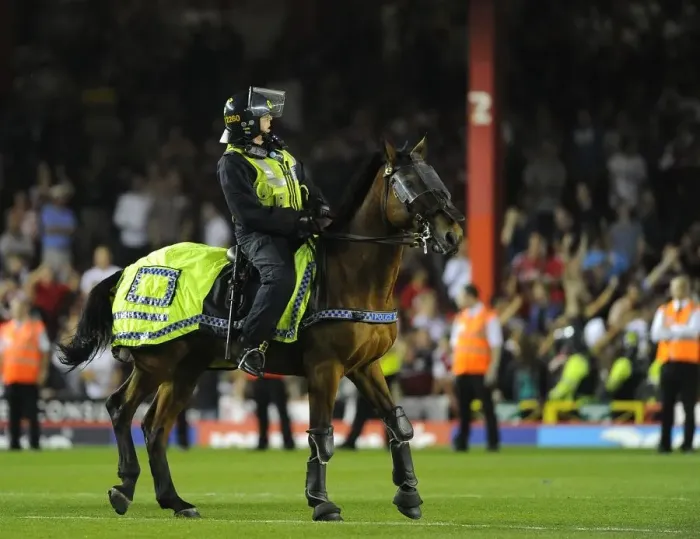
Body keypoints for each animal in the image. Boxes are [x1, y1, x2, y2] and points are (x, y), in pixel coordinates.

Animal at [58, 136, 464, 522]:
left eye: (436, 178)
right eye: (408, 184)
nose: (453, 234)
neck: (351, 276)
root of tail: (130, 268)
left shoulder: (365, 366)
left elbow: (397, 423)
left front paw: (408, 494)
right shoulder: (325, 367)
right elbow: (322, 434)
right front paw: (322, 503)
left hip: (185, 370)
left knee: (155, 428)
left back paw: (174, 501)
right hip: (155, 361)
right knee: (120, 409)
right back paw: (124, 487)